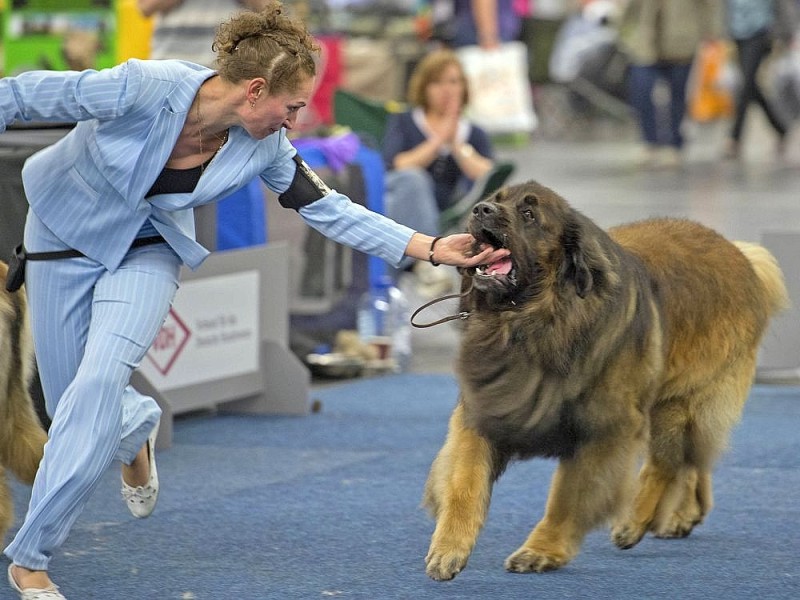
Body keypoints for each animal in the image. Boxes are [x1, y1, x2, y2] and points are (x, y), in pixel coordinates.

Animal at [424, 180, 788, 580]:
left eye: (529, 214)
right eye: (495, 200)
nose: (480, 209)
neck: (533, 322)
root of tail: (741, 255)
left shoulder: (604, 428)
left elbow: (567, 497)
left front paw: (541, 550)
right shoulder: (485, 407)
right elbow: (465, 481)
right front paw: (449, 548)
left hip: (676, 401)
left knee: (667, 463)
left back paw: (634, 523)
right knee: (694, 459)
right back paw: (682, 516)